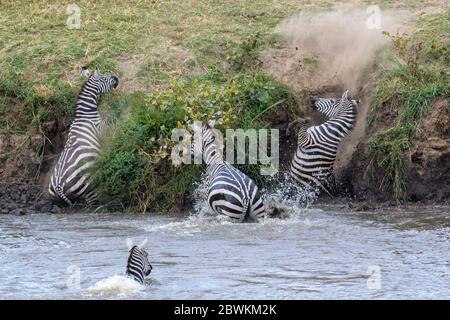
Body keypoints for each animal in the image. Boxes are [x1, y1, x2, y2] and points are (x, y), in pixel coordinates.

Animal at [48, 68, 118, 208]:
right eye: (104, 78)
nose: (117, 79)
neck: (85, 114)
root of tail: (58, 186)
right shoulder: (101, 129)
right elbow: (112, 126)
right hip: (87, 185)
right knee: (93, 204)